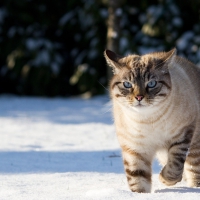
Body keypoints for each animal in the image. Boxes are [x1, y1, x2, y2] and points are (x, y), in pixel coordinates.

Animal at [104, 48, 200, 192]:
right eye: (127, 84)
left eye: (151, 84)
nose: (139, 97)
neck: (147, 121)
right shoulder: (134, 149)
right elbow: (138, 179)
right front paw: (139, 195)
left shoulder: (183, 134)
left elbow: (175, 166)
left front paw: (164, 179)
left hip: (195, 149)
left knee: (193, 171)